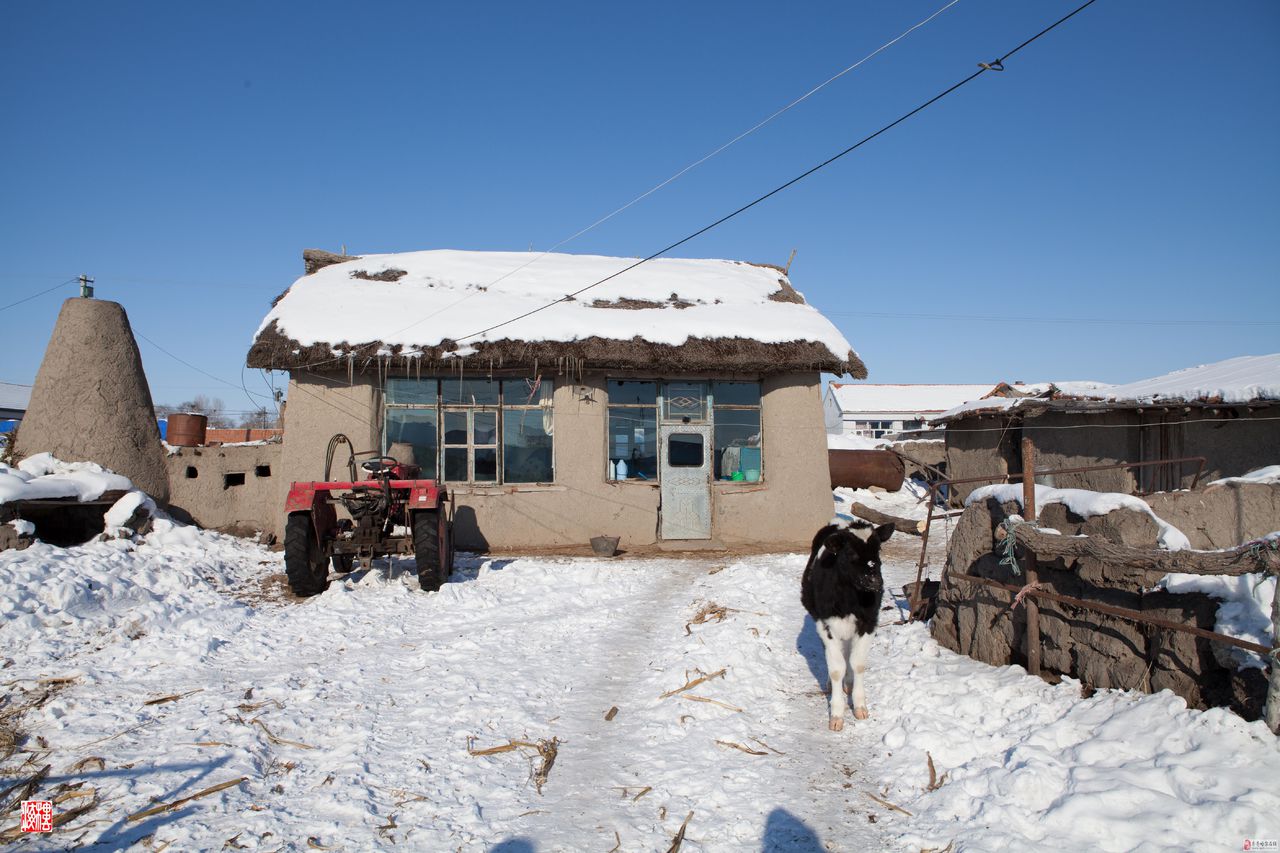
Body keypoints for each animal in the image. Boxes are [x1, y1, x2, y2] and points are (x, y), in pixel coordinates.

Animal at [798, 514, 890, 727]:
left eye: (878, 549)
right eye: (850, 552)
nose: (875, 581)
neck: (850, 599)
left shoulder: (869, 622)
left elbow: (858, 663)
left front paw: (859, 705)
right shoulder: (826, 625)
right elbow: (836, 668)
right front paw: (837, 713)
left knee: (847, 652)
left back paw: (848, 683)